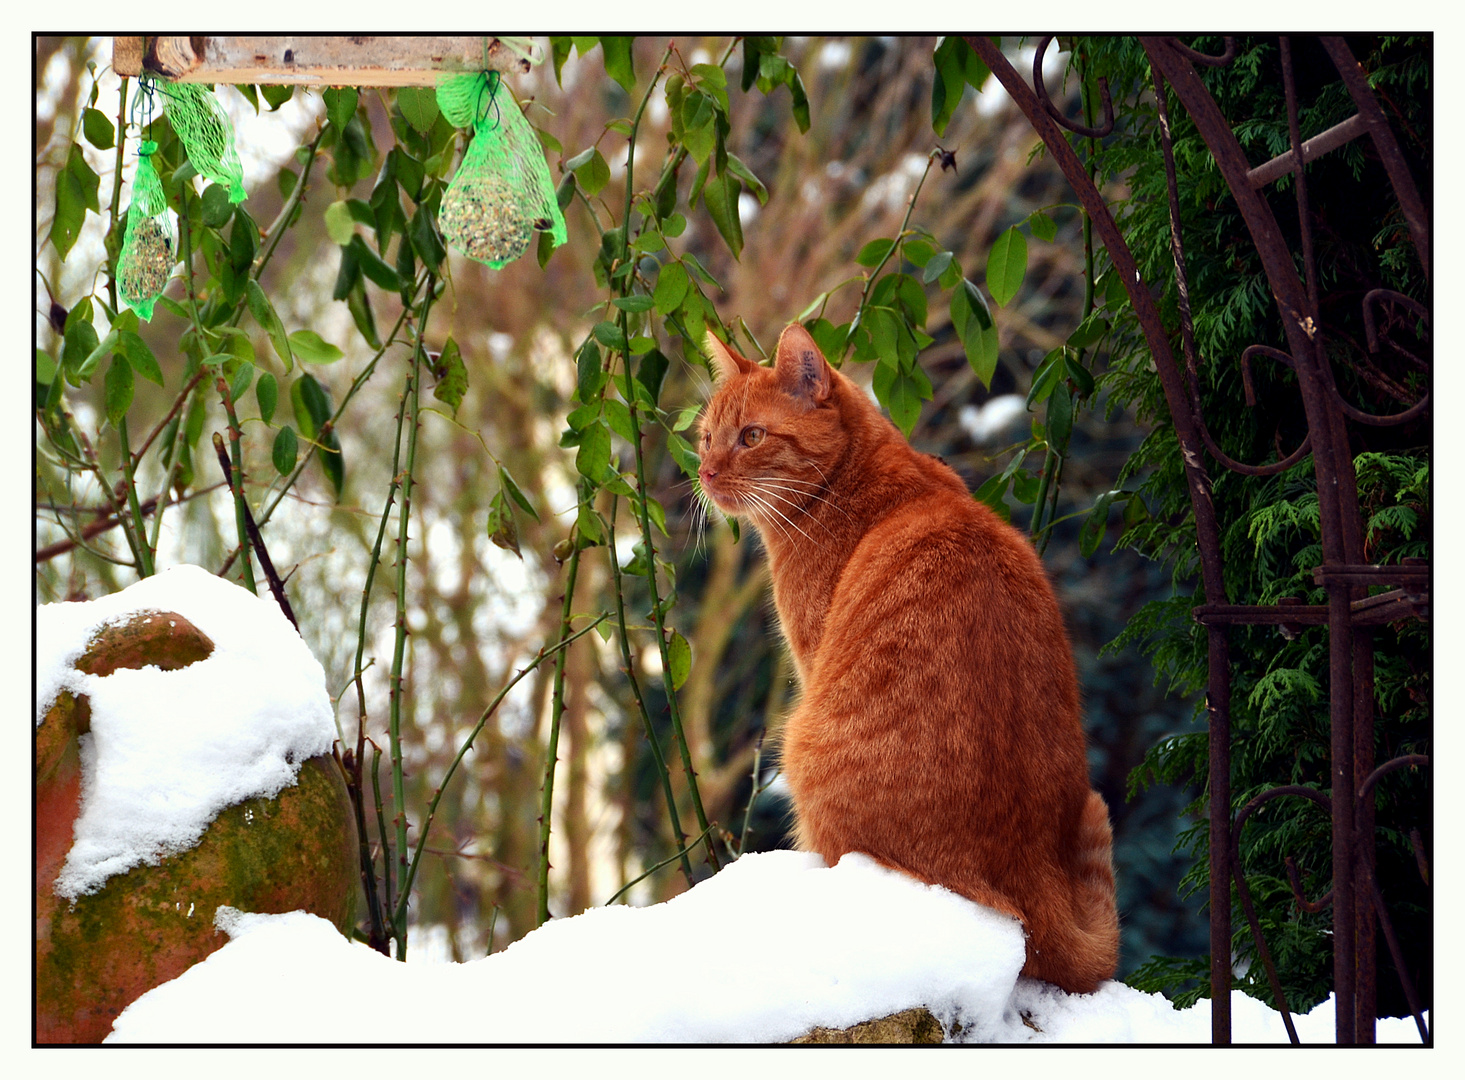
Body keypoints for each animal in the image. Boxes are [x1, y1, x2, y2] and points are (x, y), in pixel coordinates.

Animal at [697, 322, 1119, 996]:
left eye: (752, 436)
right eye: (707, 436)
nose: (705, 472)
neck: (855, 477)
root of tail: (1029, 872)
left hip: (800, 745)